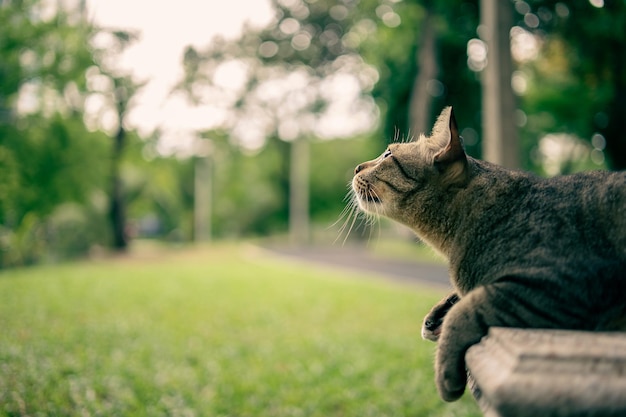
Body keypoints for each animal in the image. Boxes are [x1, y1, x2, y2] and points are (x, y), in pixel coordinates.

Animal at [348, 106, 624, 400]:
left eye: (388, 154)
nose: (356, 167)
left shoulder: (558, 284)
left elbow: (470, 307)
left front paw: (445, 367)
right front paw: (440, 311)